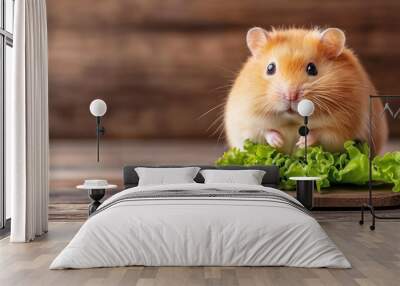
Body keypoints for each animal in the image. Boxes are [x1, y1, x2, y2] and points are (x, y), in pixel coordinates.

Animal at [223, 27, 386, 154]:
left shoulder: (343, 127)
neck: (292, 120)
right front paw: (279, 142)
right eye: (270, 68)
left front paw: (301, 144)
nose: (291, 95)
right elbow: (264, 131)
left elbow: (321, 132)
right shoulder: (244, 122)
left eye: (312, 69)